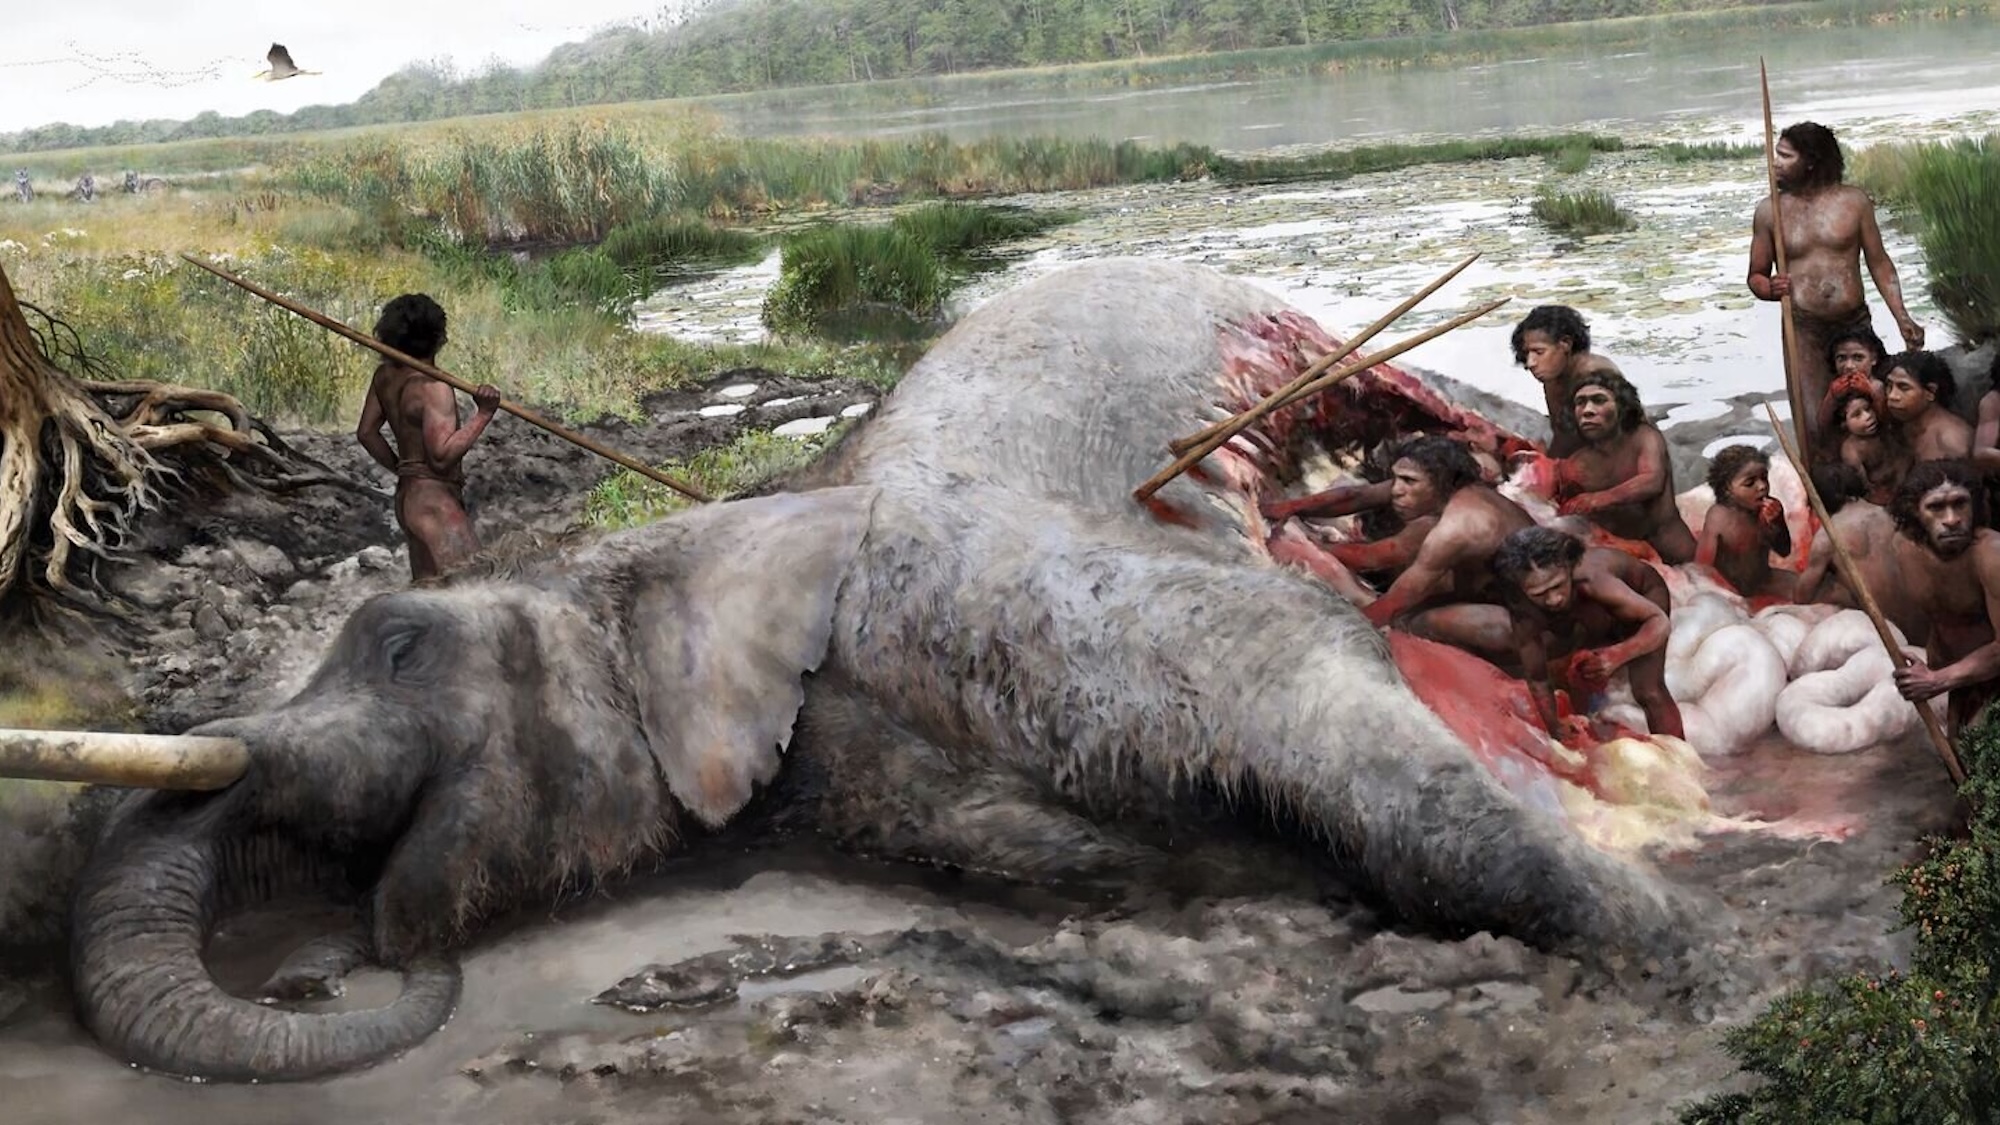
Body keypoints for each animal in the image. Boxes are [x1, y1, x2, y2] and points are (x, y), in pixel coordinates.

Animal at [27, 258, 1704, 1085]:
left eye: (395, 641)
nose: (333, 964)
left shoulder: (1015, 586)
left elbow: (1311, 681)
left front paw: (1662, 940)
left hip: (1335, 351)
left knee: (1445, 409)